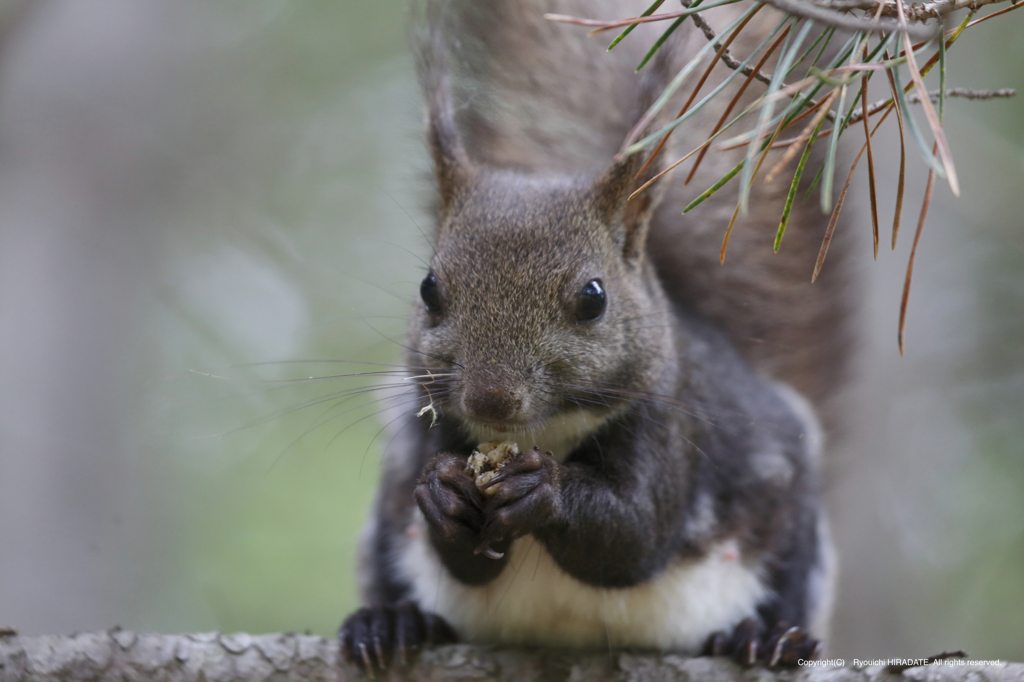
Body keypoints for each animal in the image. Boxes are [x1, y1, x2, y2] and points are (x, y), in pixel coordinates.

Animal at [335, 0, 847, 667]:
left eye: (593, 298)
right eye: (428, 290)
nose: (490, 400)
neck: (544, 434)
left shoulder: (669, 426)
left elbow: (633, 536)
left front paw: (542, 489)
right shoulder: (434, 425)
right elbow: (464, 558)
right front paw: (442, 493)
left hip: (793, 525)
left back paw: (765, 639)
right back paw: (391, 624)